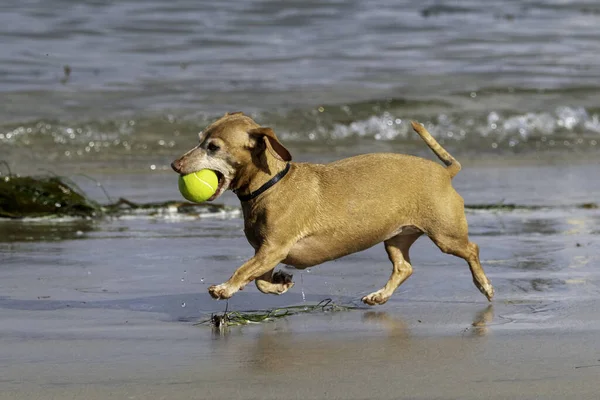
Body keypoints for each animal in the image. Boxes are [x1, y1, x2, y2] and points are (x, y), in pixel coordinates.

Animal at [171, 111, 494, 304]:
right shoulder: (265, 253)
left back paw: (484, 285)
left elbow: (243, 271)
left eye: (213, 147)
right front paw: (281, 283)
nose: (175, 165)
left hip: (446, 235)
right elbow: (260, 281)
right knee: (404, 267)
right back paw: (380, 295)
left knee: (472, 250)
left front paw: (224, 287)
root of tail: (445, 173)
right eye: (199, 139)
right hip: (395, 238)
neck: (271, 184)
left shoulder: (273, 249)